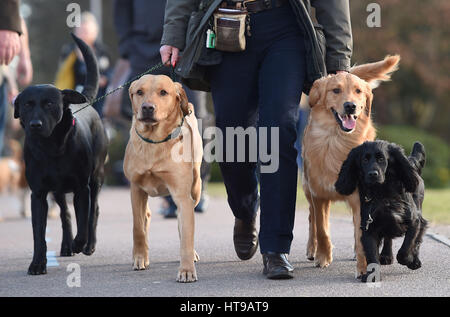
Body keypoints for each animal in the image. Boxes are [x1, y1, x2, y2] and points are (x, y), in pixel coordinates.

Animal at [14, 33, 108, 272]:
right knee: (65, 214)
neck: (51, 148)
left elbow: (83, 221)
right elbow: (39, 234)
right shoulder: (38, 194)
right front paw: (37, 263)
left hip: (96, 177)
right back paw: (66, 246)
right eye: (27, 105)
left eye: (49, 104)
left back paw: (87, 245)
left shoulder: (82, 188)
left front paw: (79, 243)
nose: (35, 125)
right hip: (57, 190)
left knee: (93, 211)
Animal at [336, 141, 428, 282]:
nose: (373, 174)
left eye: (381, 159)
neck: (382, 193)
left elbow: (406, 248)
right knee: (388, 237)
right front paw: (372, 275)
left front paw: (409, 260)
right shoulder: (368, 227)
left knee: (419, 236)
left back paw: (414, 260)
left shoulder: (413, 221)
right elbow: (372, 254)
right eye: (364, 160)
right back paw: (386, 255)